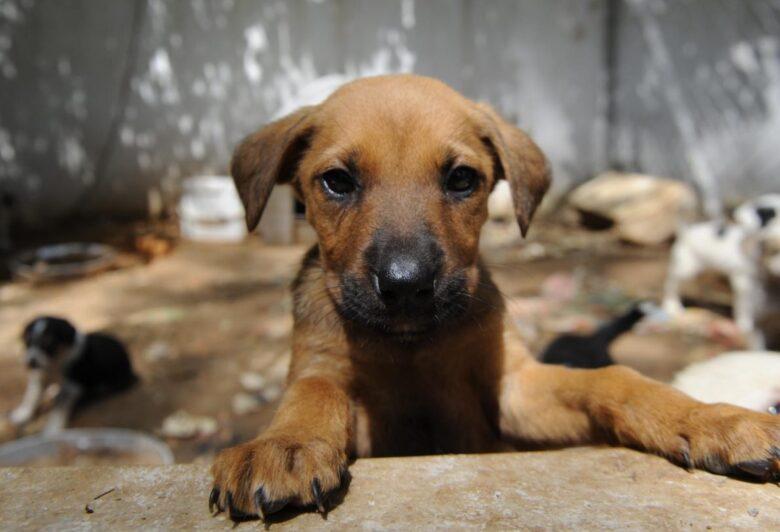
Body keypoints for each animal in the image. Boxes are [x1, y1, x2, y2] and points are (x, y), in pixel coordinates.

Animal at [8, 316, 136, 432]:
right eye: (28, 342)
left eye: (49, 343)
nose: (31, 363)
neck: (55, 362)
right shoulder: (39, 377)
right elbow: (31, 397)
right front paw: (22, 415)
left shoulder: (71, 387)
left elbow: (58, 410)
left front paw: (52, 430)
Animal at [209, 75, 780, 520]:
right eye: (337, 182)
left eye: (462, 179)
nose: (407, 286)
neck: (411, 346)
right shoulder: (326, 371)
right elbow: (314, 391)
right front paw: (284, 445)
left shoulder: (514, 389)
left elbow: (616, 380)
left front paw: (715, 420)